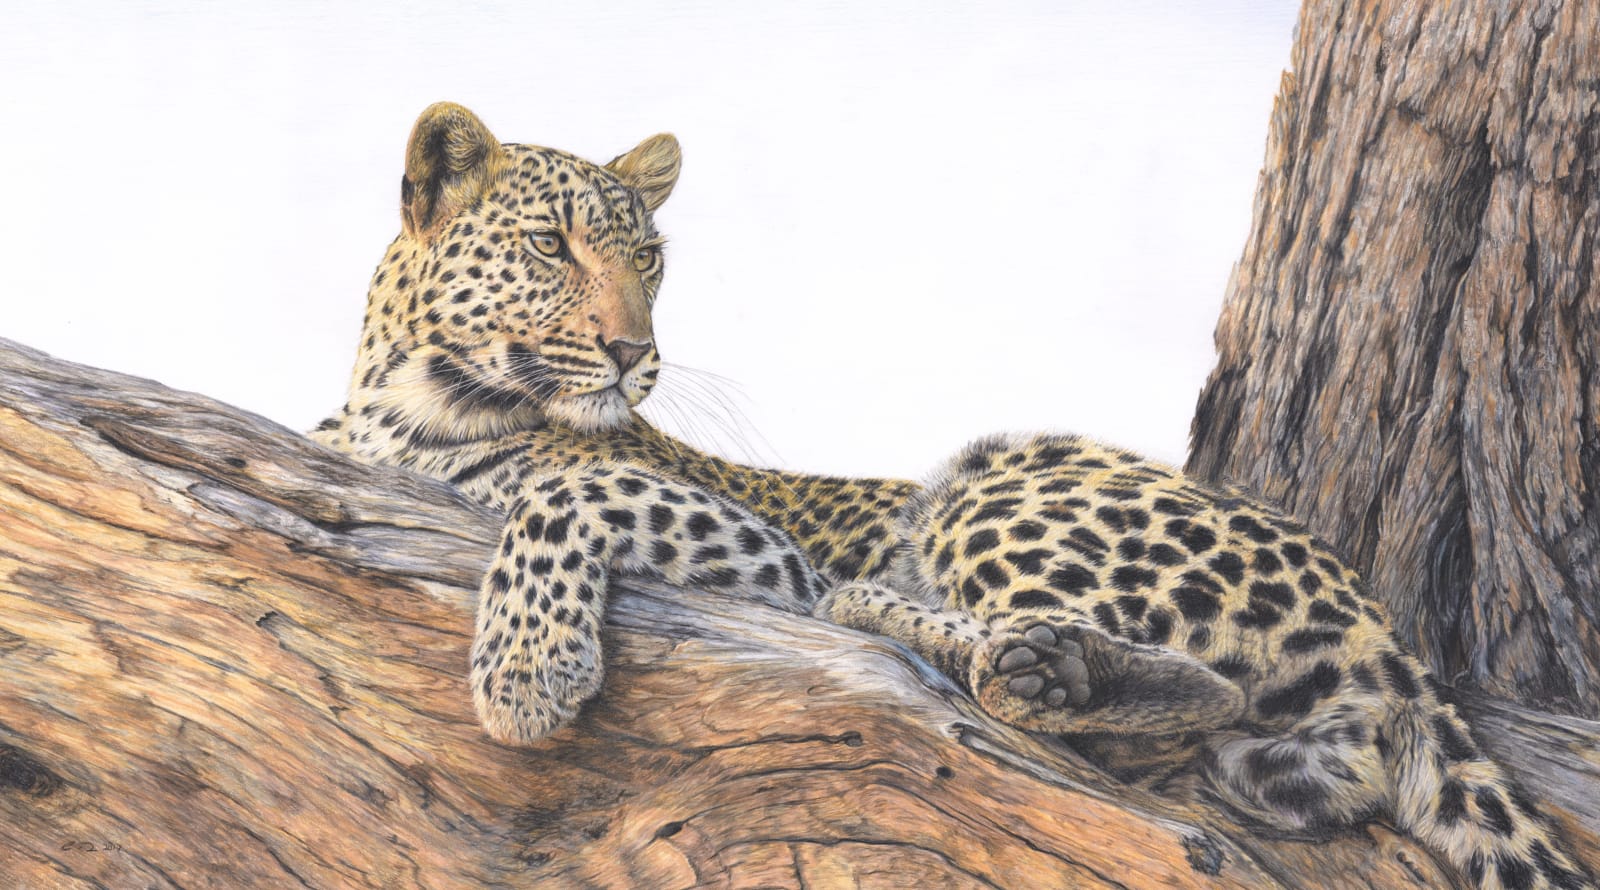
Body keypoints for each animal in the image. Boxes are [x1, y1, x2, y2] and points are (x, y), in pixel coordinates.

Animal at [311, 101, 1592, 890]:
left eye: (652, 260)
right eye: (552, 247)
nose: (637, 355)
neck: (403, 401)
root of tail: (1382, 622)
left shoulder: (756, 551)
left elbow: (562, 500)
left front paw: (523, 667)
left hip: (996, 479)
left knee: (1194, 685)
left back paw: (993, 647)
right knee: (1272, 748)